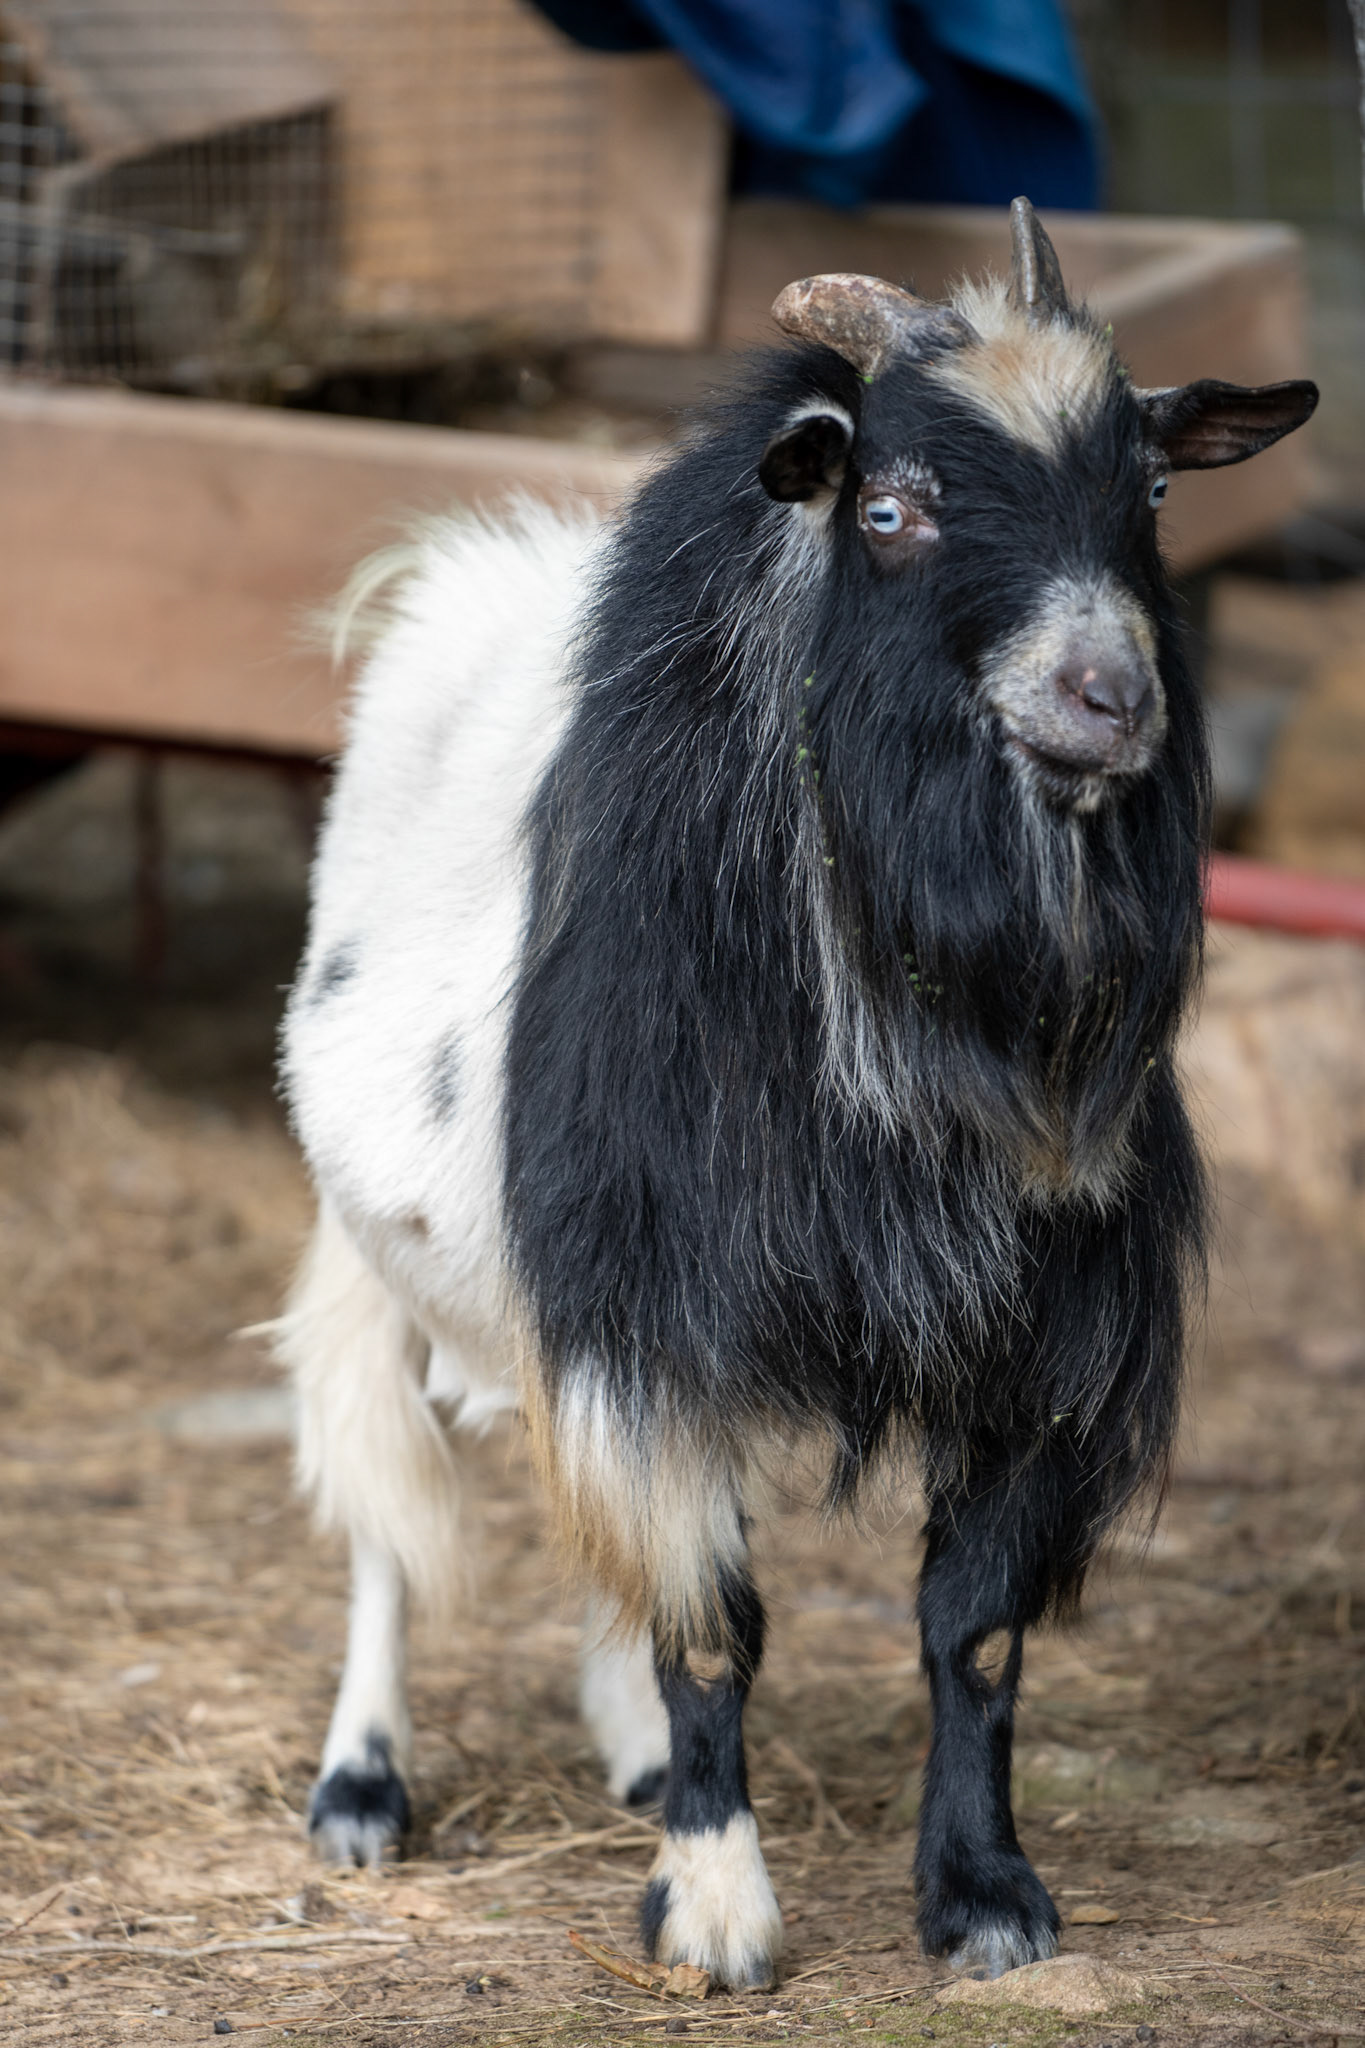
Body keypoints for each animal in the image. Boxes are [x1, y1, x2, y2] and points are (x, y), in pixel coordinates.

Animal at [276, 200, 1316, 1988]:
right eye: (890, 506)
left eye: (1154, 495)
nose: (1111, 698)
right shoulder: (642, 1307)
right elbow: (714, 1629)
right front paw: (714, 1914)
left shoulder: (1030, 1338)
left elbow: (971, 1630)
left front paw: (984, 1899)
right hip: (374, 1256)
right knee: (385, 1525)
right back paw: (362, 1787)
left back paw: (623, 1755)